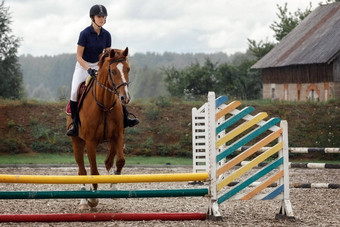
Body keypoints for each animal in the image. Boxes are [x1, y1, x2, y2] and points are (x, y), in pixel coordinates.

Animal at [66, 47, 130, 209]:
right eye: (113, 71)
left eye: (128, 69)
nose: (125, 98)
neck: (105, 104)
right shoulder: (90, 142)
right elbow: (94, 170)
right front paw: (92, 199)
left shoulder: (118, 136)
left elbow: (119, 160)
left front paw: (114, 186)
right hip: (77, 141)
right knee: (82, 171)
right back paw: (84, 201)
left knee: (108, 160)